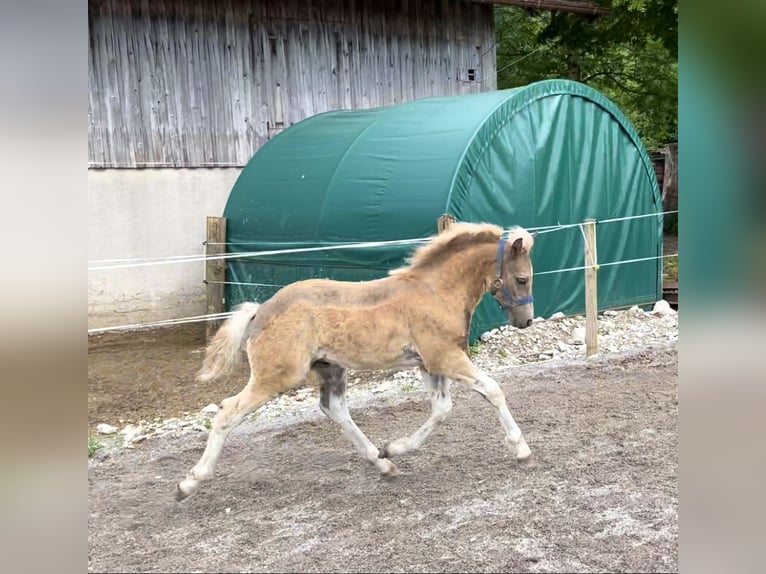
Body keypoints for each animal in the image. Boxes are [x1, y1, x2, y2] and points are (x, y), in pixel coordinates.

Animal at [178, 223, 540, 502]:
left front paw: (393, 448)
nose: (525, 321)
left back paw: (383, 463)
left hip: (331, 368)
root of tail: (261, 310)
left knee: (335, 410)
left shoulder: (429, 364)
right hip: (276, 377)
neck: (436, 292)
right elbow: (492, 390)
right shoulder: (446, 357)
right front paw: (521, 449)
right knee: (228, 411)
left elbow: (442, 409)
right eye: (522, 279)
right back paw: (190, 482)